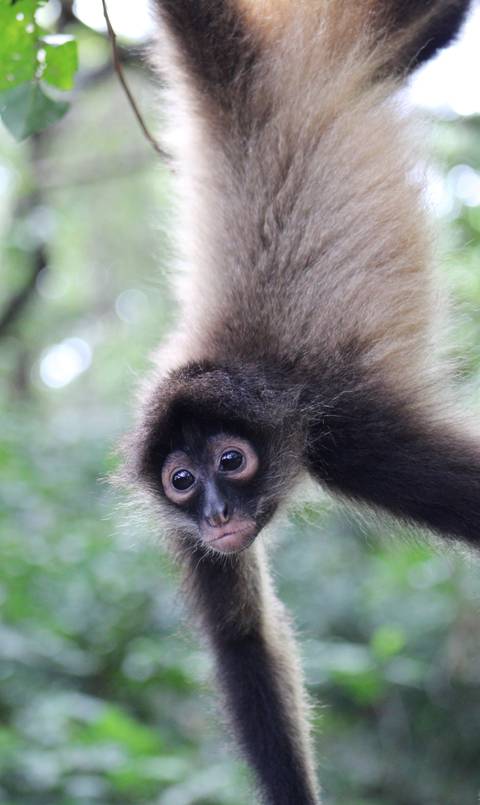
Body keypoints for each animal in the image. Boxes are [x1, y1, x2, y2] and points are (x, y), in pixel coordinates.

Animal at [121, 2, 478, 803]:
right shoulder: (185, 525)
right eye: (182, 481)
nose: (218, 511)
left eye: (232, 461)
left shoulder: (352, 437)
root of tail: (237, 82)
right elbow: (243, 638)